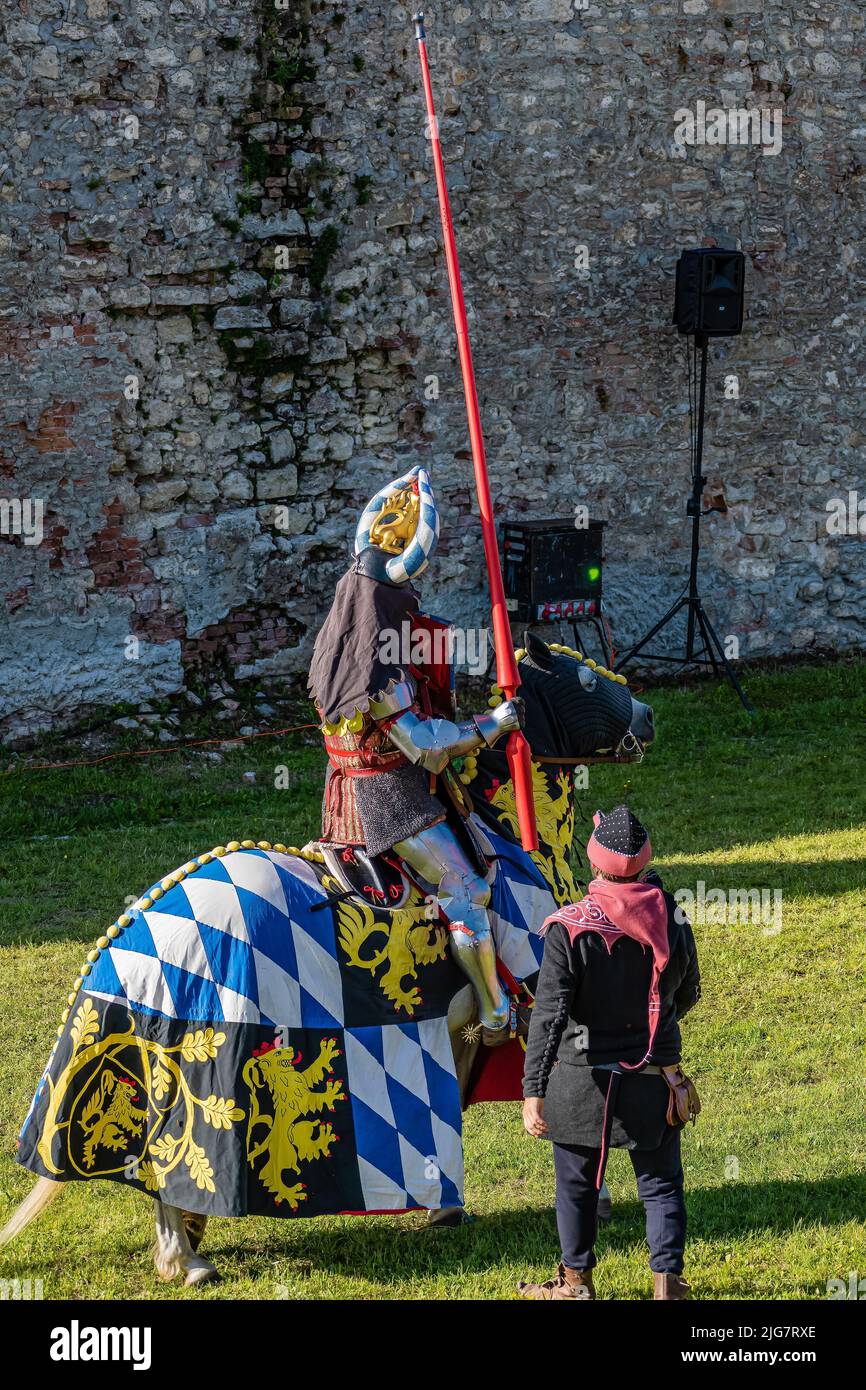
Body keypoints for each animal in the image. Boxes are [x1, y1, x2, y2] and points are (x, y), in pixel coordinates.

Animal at [0, 631, 650, 1278]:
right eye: (584, 679)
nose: (645, 715)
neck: (507, 831)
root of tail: (133, 938)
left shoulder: (459, 1031)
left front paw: (447, 1208)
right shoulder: (542, 994)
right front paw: (594, 1201)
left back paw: (183, 1244)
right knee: (170, 1160)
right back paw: (186, 1256)